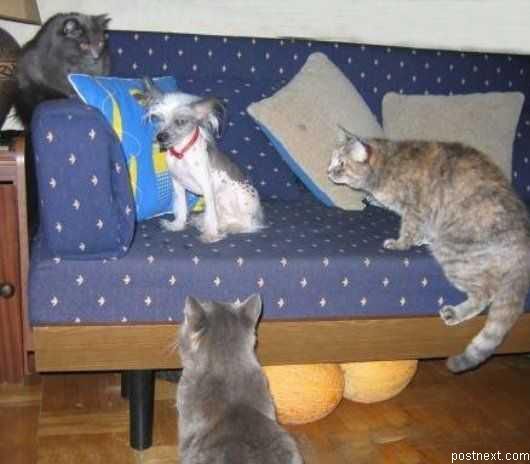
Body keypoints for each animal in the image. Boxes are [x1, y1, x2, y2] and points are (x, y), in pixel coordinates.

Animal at [135, 79, 264, 243]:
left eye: (180, 121)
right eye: (158, 118)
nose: (160, 137)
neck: (182, 153)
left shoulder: (207, 188)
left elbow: (211, 214)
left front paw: (211, 235)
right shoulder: (178, 185)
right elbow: (181, 207)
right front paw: (177, 225)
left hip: (232, 202)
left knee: (248, 225)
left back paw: (230, 227)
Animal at [328, 127, 530, 373]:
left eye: (341, 163)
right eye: (332, 159)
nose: (328, 171)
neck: (386, 165)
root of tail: (522, 238)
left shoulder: (414, 209)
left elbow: (407, 229)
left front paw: (400, 243)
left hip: (453, 255)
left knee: (487, 292)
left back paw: (456, 312)